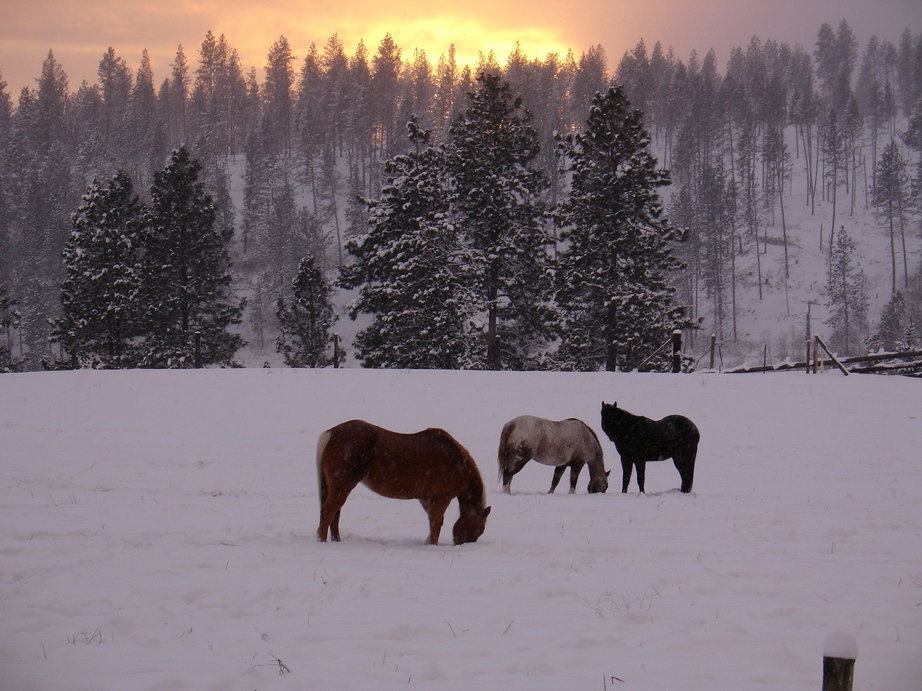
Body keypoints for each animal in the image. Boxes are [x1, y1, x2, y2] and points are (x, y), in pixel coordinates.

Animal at [316, 420, 491, 545]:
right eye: (481, 529)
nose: (463, 544)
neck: (457, 462)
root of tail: (333, 432)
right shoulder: (441, 498)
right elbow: (436, 523)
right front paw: (433, 545)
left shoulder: (426, 499)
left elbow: (431, 521)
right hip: (342, 485)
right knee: (328, 511)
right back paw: (323, 542)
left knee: (335, 514)